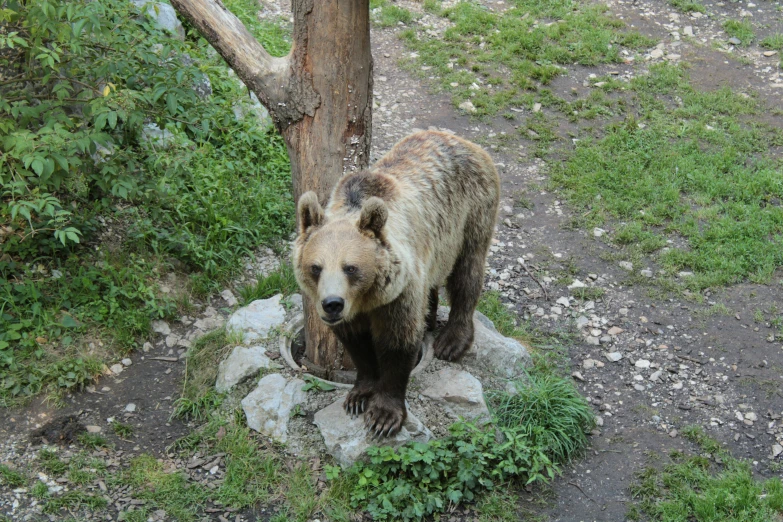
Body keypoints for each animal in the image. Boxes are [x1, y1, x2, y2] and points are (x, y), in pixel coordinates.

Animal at [294, 130, 502, 434]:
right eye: (316, 267)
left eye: (350, 268)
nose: (332, 304)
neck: (367, 299)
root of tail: (460, 139)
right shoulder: (355, 311)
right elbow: (357, 343)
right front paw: (358, 396)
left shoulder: (400, 292)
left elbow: (398, 342)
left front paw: (383, 416)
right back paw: (430, 318)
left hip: (471, 212)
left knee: (467, 273)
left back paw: (452, 341)